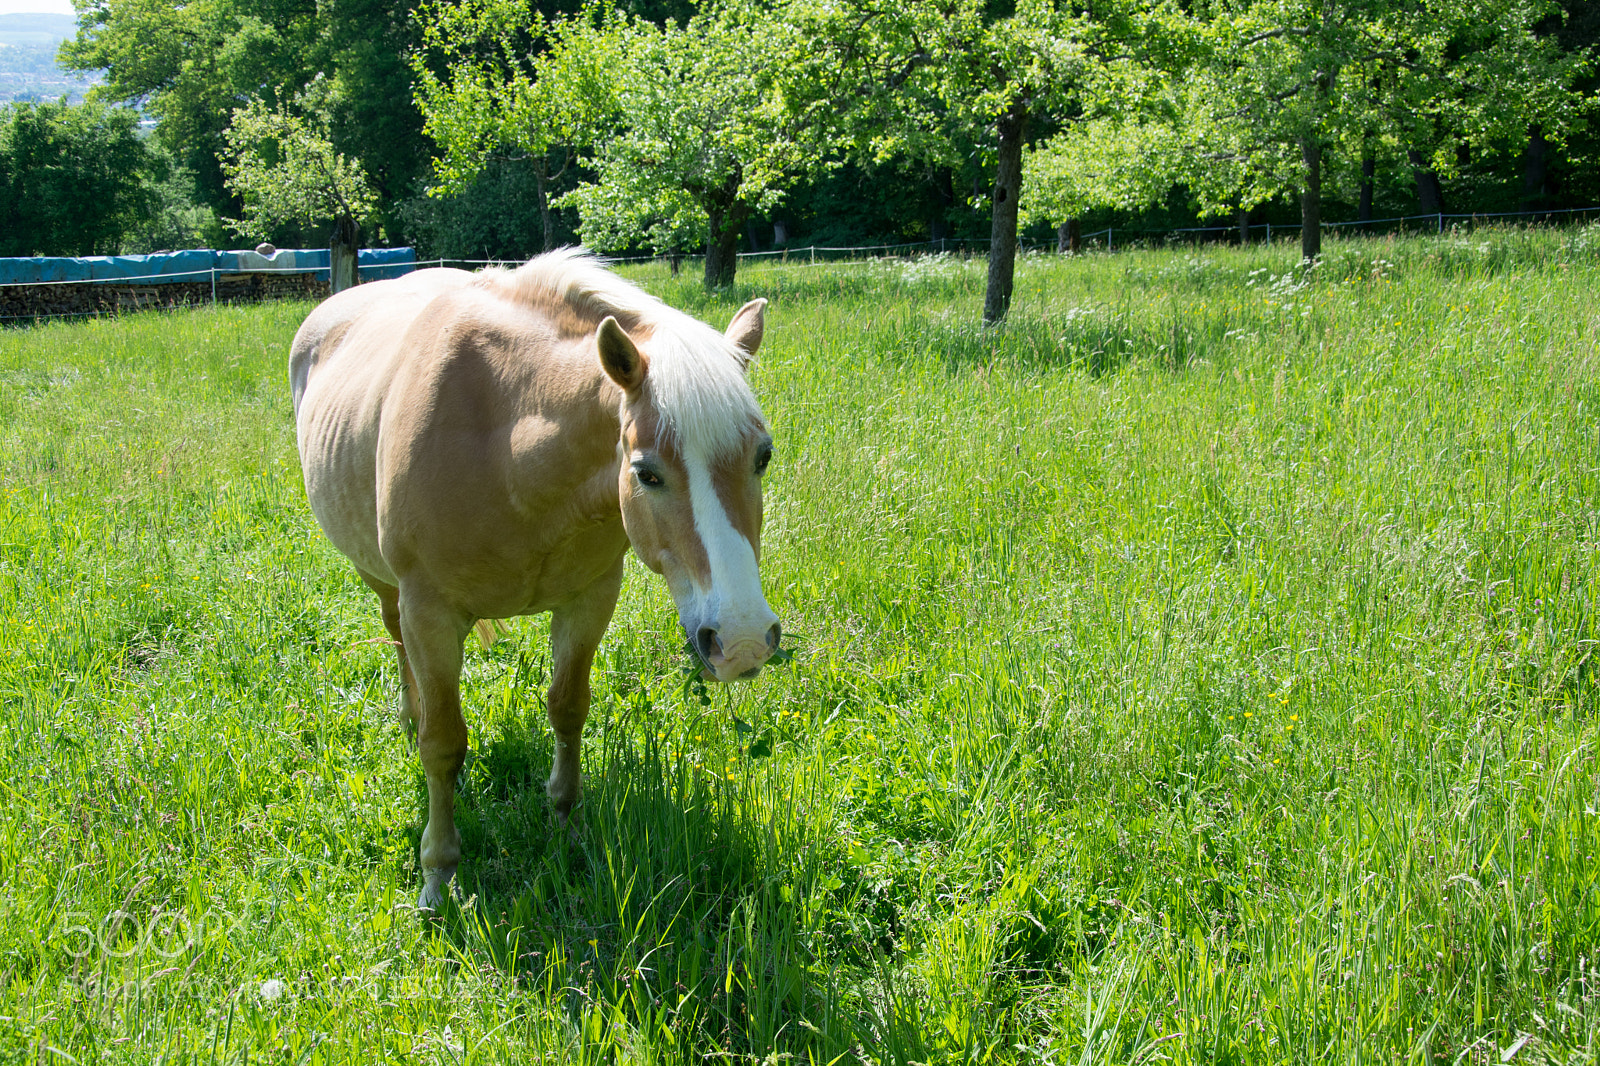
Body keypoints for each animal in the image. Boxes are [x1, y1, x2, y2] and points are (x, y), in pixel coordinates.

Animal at [289, 249, 781, 909]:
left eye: (763, 456)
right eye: (645, 472)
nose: (744, 640)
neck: (507, 447)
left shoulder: (590, 599)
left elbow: (568, 709)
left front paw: (566, 824)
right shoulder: (431, 614)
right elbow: (443, 745)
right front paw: (437, 875)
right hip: (385, 583)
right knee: (396, 643)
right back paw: (410, 716)